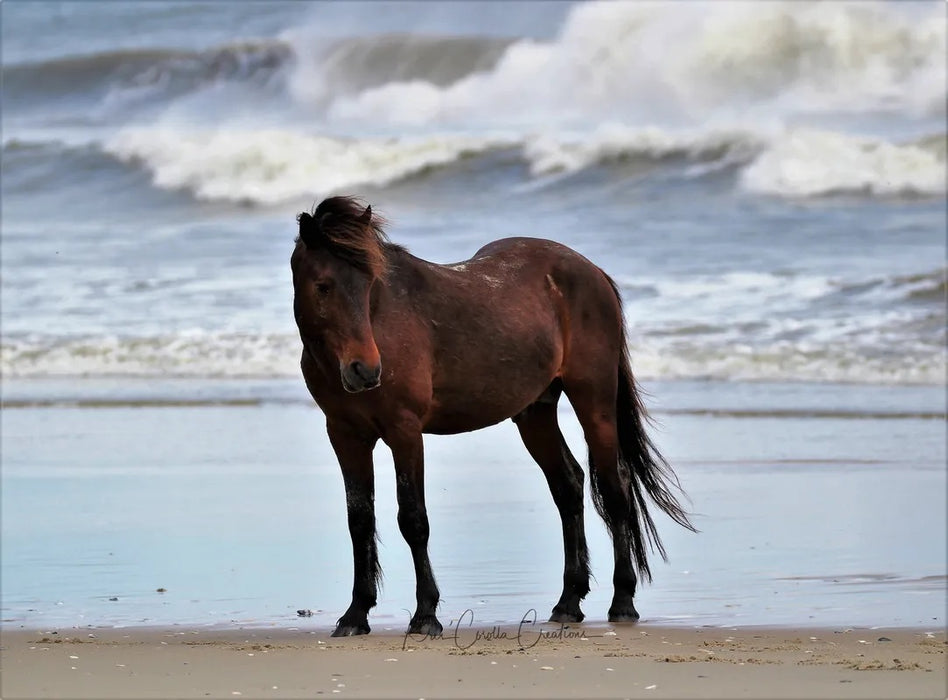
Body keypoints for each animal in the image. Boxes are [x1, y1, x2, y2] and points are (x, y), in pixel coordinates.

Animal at [292, 194, 692, 636]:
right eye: (323, 285)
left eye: (368, 284)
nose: (365, 370)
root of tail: (592, 272)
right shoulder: (345, 435)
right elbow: (359, 519)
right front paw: (355, 614)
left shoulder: (405, 431)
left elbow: (413, 519)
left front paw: (426, 615)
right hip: (535, 413)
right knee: (568, 485)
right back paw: (567, 603)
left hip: (595, 403)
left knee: (614, 489)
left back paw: (622, 602)